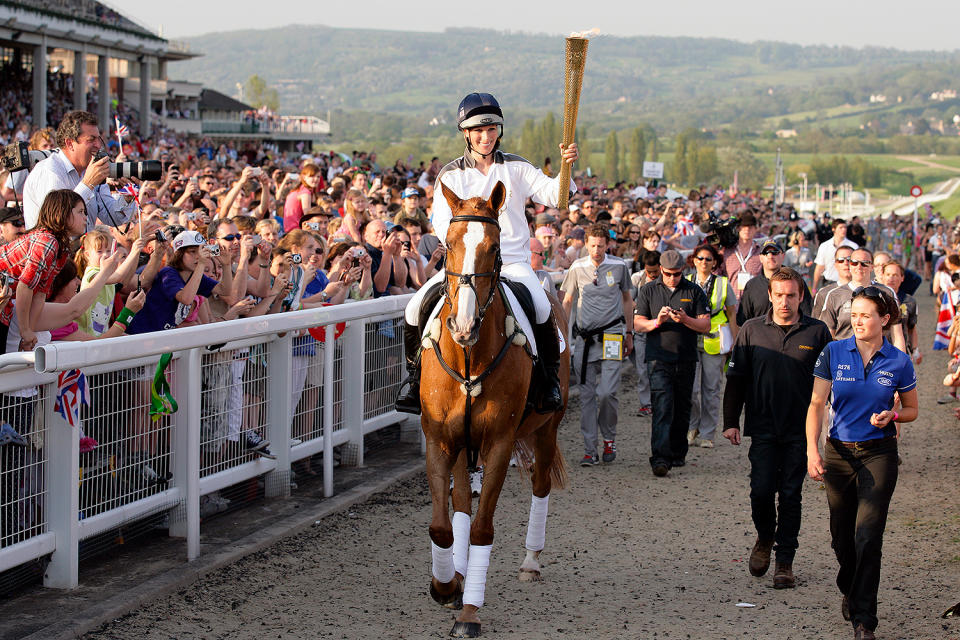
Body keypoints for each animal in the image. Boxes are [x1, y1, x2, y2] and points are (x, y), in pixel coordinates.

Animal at [422, 181, 568, 640]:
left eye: (493, 247)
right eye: (449, 244)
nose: (463, 326)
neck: (470, 358)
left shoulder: (500, 443)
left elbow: (483, 527)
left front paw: (469, 612)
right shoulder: (440, 440)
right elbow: (443, 524)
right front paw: (446, 585)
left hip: (546, 429)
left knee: (540, 484)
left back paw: (531, 561)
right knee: (460, 506)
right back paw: (459, 573)